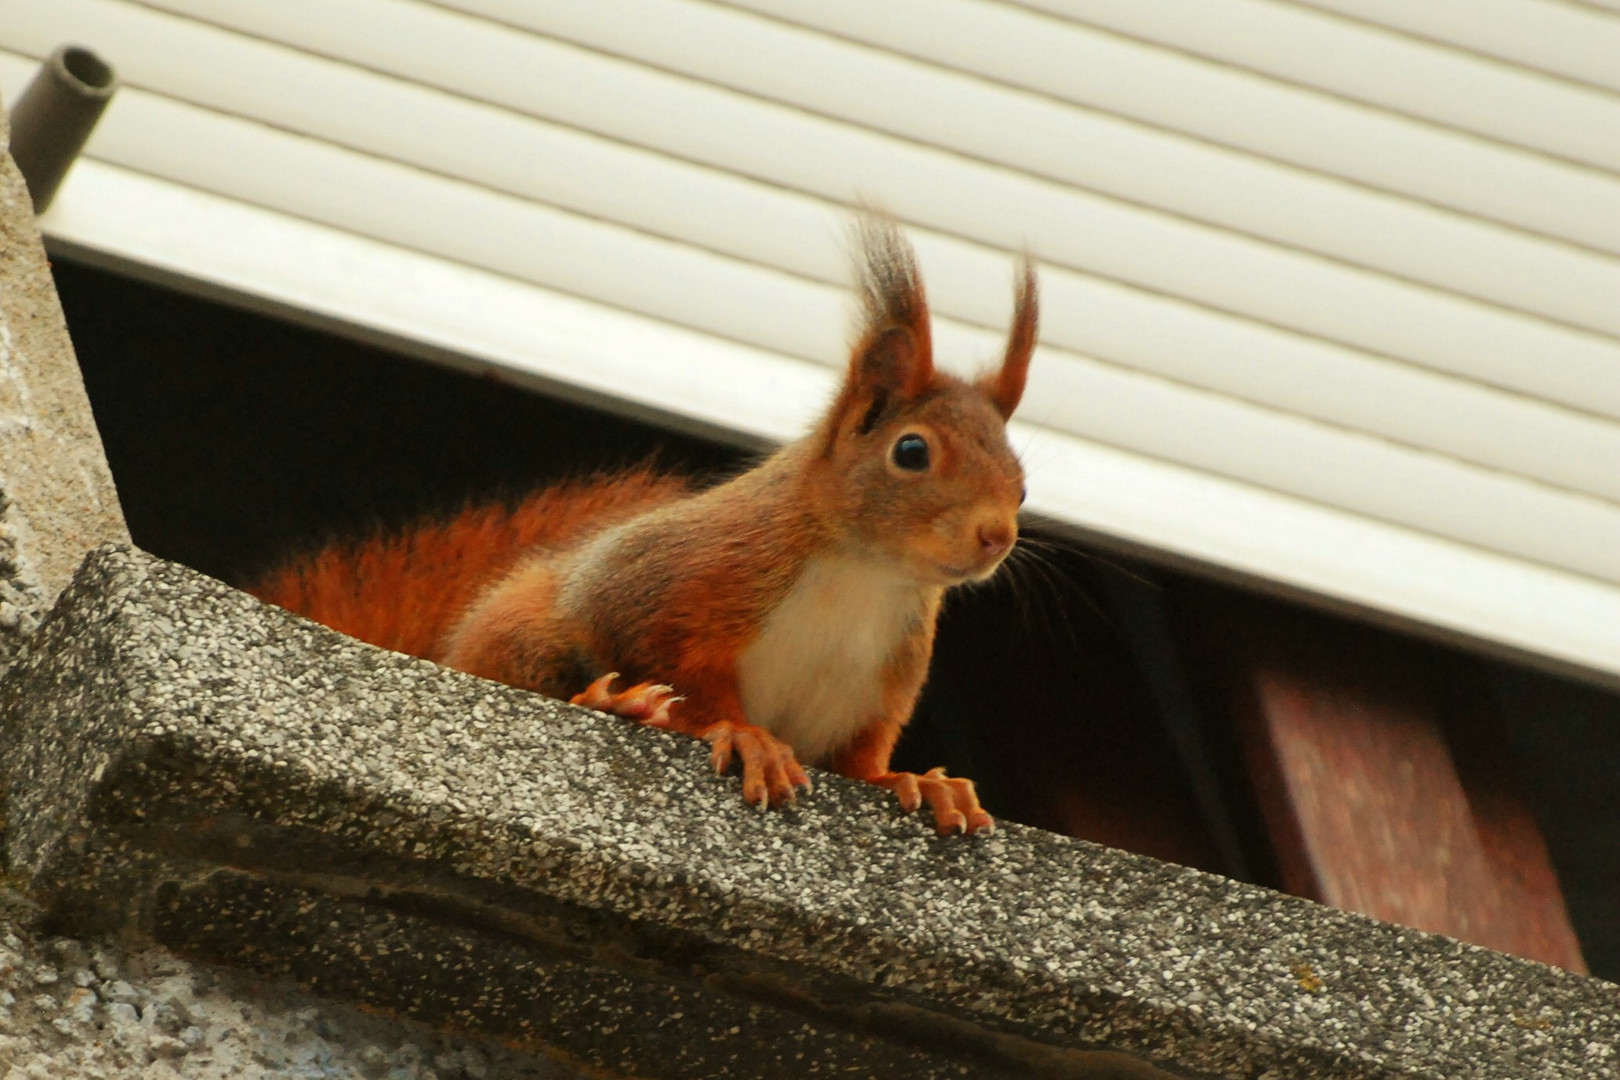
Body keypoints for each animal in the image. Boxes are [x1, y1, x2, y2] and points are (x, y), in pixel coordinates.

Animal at [252, 216, 1036, 829]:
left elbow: (861, 759)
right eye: (912, 452)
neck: (863, 577)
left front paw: (917, 780)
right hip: (522, 631)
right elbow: (670, 656)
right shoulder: (683, 576)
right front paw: (744, 735)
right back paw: (617, 702)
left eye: (1023, 482)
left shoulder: (874, 686)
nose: (996, 536)